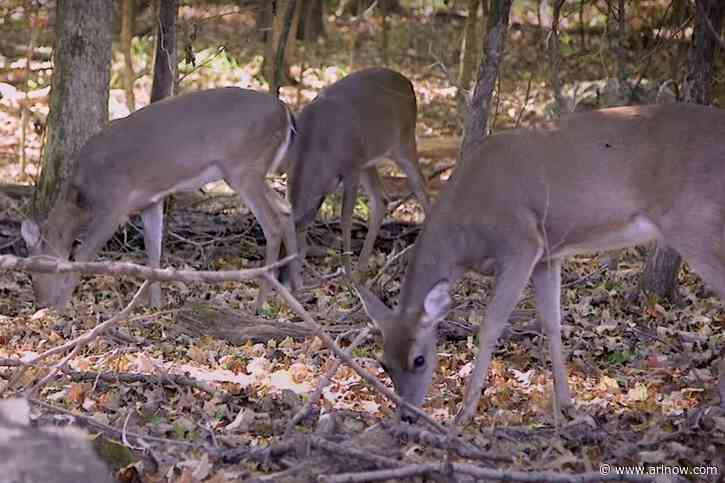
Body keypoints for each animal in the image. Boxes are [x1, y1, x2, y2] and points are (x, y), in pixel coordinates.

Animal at [21, 87, 302, 310]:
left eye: (34, 274)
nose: (42, 302)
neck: (82, 195)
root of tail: (285, 112)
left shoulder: (114, 204)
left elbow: (82, 254)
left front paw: (61, 308)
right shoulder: (150, 201)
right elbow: (153, 252)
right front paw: (155, 306)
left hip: (242, 167)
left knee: (272, 224)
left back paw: (261, 302)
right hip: (252, 171)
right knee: (286, 207)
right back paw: (295, 286)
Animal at [285, 67, 431, 275]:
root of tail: (409, 83)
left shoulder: (351, 167)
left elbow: (345, 219)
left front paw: (346, 272)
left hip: (403, 143)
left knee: (423, 191)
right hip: (368, 160)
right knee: (381, 199)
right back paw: (362, 267)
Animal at [357, 103, 725, 424]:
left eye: (419, 359)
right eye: (384, 363)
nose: (406, 416)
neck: (464, 235)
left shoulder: (520, 244)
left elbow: (491, 325)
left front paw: (464, 413)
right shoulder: (547, 256)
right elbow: (552, 322)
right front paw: (569, 407)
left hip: (695, 222)